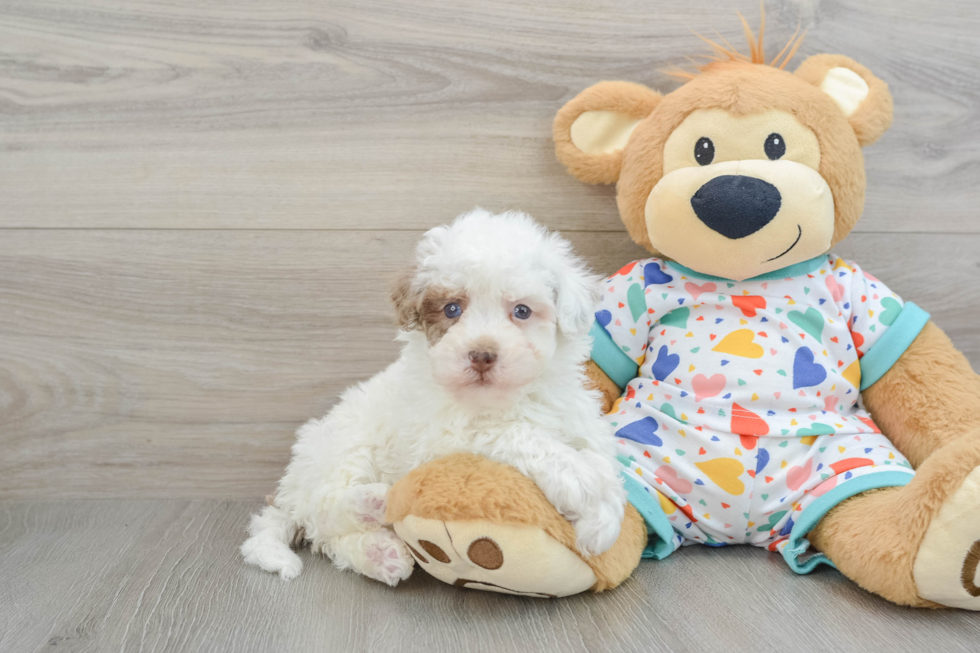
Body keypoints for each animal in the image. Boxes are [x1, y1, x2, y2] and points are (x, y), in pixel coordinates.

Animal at [245, 210, 628, 584]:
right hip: (343, 449)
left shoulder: (577, 416)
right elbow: (516, 434)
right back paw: (373, 503)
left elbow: (602, 456)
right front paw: (578, 480)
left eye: (521, 311)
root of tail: (290, 488)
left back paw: (382, 555)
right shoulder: (443, 437)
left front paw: (603, 520)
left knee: (330, 537)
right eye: (451, 309)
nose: (482, 355)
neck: (507, 398)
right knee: (324, 513)